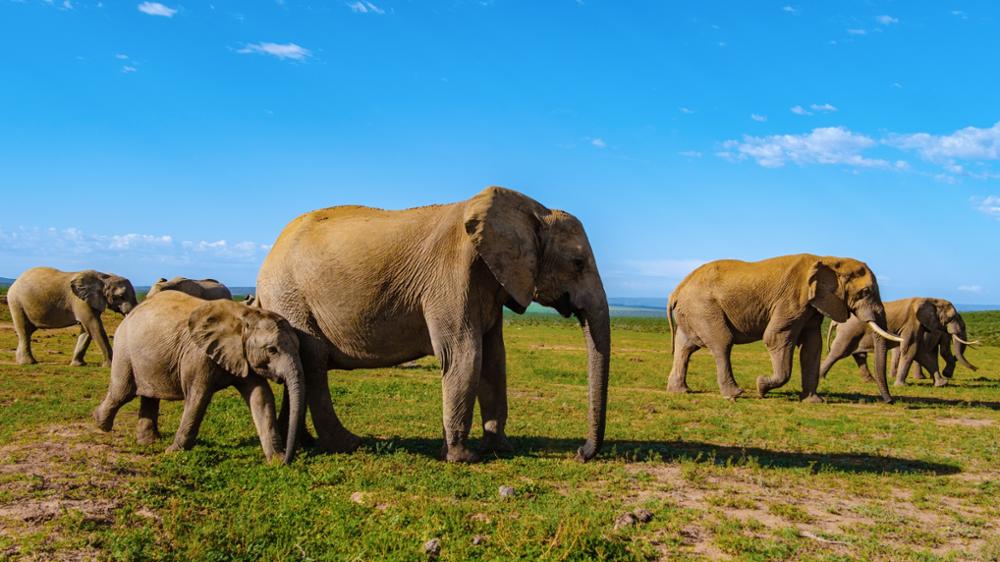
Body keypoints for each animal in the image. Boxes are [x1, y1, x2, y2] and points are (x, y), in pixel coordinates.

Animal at [7, 266, 139, 366]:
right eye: (121, 296)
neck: (104, 277)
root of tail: (15, 282)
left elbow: (86, 330)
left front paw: (78, 365)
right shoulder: (80, 301)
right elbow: (94, 326)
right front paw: (110, 365)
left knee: (28, 331)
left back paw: (21, 361)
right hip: (16, 302)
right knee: (24, 331)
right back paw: (28, 363)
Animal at [94, 290, 304, 462]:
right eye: (272, 350)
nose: (289, 458)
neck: (245, 315)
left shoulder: (242, 356)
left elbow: (261, 397)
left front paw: (276, 460)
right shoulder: (198, 354)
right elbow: (198, 398)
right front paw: (173, 453)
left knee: (149, 397)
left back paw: (148, 442)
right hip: (124, 350)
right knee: (122, 392)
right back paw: (100, 424)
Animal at [254, 186, 608, 462]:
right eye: (578, 263)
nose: (581, 453)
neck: (533, 209)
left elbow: (495, 359)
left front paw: (499, 449)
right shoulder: (450, 276)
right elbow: (465, 353)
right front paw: (463, 458)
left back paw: (305, 443)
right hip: (289, 295)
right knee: (314, 361)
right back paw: (348, 444)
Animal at [668, 254, 904, 402]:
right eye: (865, 292)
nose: (890, 402)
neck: (829, 260)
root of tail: (676, 290)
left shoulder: (813, 307)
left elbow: (812, 347)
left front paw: (814, 401)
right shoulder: (792, 300)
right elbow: (775, 337)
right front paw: (761, 386)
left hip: (692, 312)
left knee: (685, 347)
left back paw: (680, 391)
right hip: (703, 308)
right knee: (722, 343)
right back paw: (735, 394)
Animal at [824, 298, 980, 384]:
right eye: (953, 318)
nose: (976, 369)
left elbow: (919, 352)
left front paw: (941, 382)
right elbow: (916, 350)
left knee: (858, 355)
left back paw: (871, 381)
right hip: (849, 330)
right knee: (839, 351)